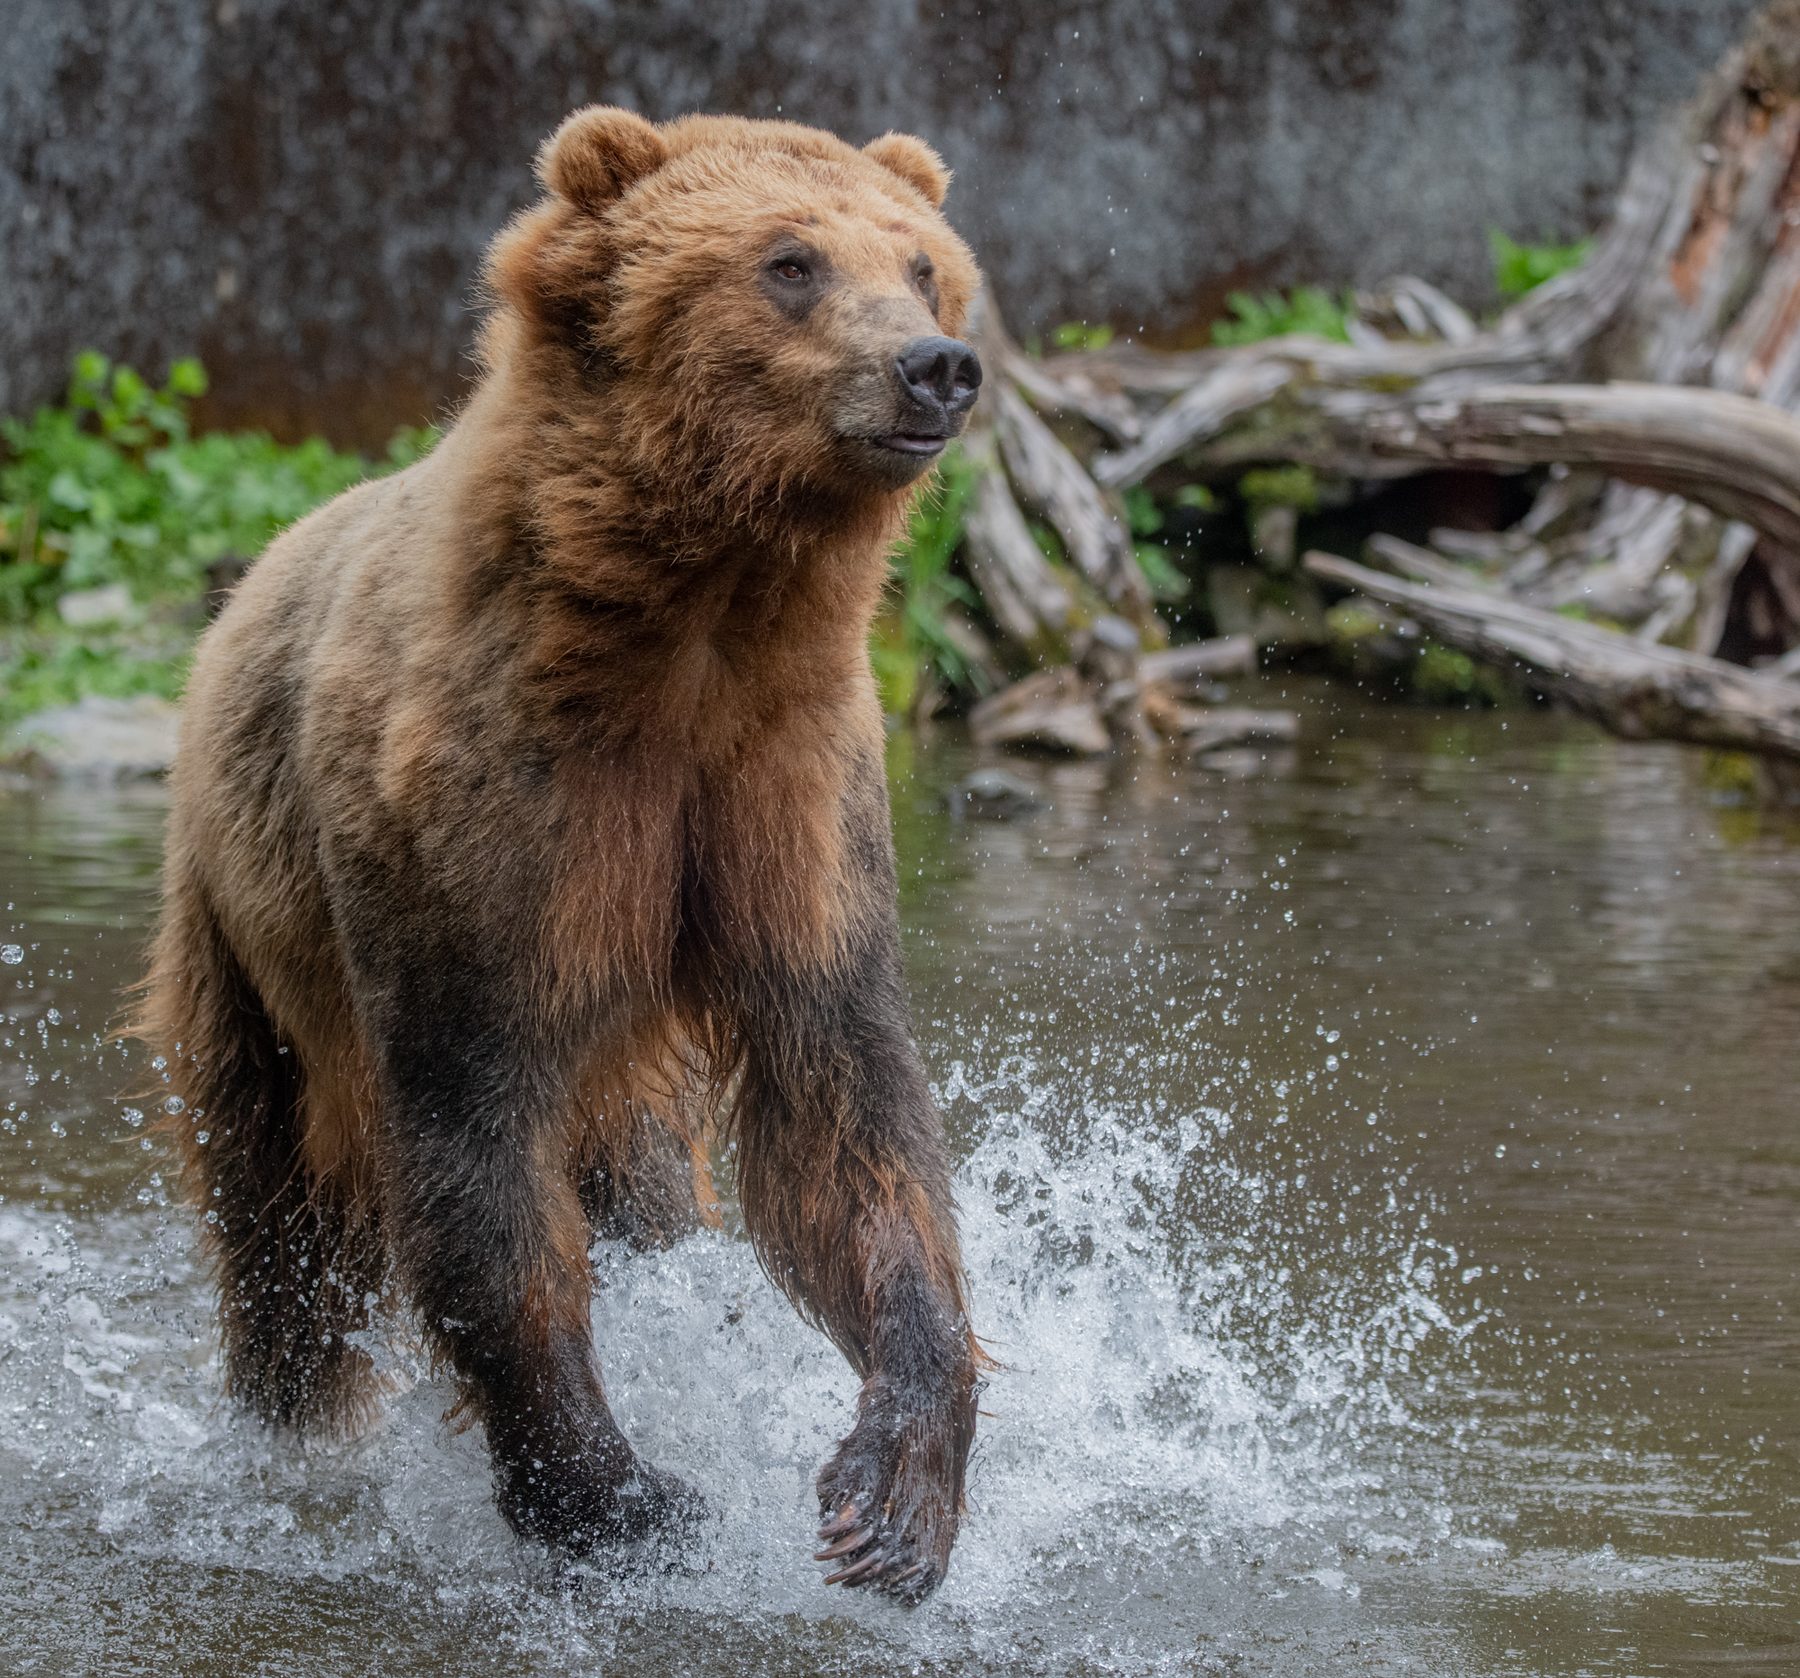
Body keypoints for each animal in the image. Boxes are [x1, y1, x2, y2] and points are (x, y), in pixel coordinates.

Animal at [138, 107, 986, 1603]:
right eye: (789, 261)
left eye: (922, 264)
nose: (932, 368)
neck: (693, 616)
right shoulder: (492, 801)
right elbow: (475, 1135)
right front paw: (626, 1496)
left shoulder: (784, 791)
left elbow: (845, 1107)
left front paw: (890, 1496)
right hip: (241, 929)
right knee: (277, 1213)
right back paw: (294, 1424)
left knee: (639, 1184)